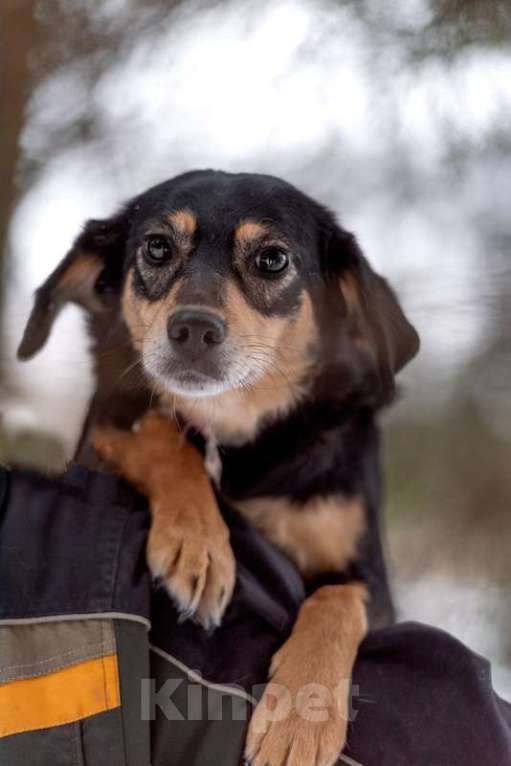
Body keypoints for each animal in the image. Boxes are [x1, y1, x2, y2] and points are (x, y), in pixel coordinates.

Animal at [19, 172, 420, 766]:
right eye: (157, 247)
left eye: (273, 259)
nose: (193, 329)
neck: (234, 435)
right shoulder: (109, 425)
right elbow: (161, 434)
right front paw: (199, 546)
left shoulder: (372, 578)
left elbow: (338, 599)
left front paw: (303, 714)